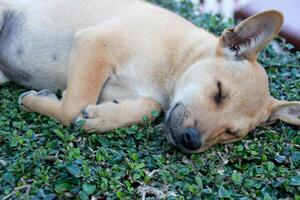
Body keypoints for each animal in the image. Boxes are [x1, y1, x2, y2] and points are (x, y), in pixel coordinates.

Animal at [0, 0, 298, 153]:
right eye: (219, 92)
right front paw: (37, 101)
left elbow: (149, 108)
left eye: (231, 133)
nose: (191, 141)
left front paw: (103, 117)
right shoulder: (94, 44)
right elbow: (72, 107)